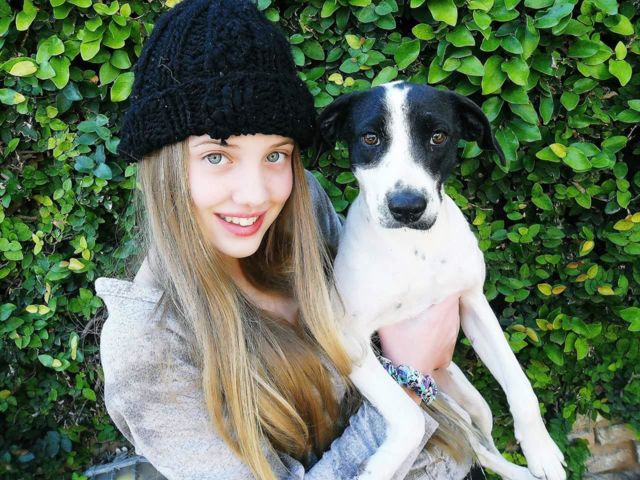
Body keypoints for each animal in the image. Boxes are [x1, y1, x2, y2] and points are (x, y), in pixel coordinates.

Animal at [316, 81, 566, 480]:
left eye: (438, 137)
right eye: (370, 138)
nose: (406, 207)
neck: (414, 247)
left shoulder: (473, 302)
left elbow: (520, 384)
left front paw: (541, 450)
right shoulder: (346, 338)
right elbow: (411, 418)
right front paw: (379, 466)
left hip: (478, 405)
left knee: (483, 445)